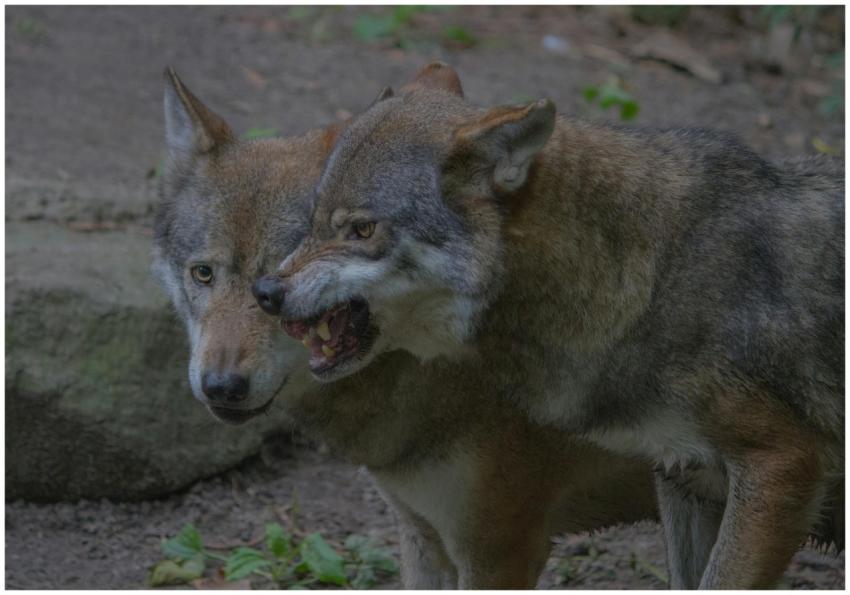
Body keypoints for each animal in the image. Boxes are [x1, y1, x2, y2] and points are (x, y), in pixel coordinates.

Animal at [261, 63, 845, 588]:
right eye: (313, 220)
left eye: (362, 229)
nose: (266, 292)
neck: (651, 278)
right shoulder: (686, 478)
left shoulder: (780, 467)